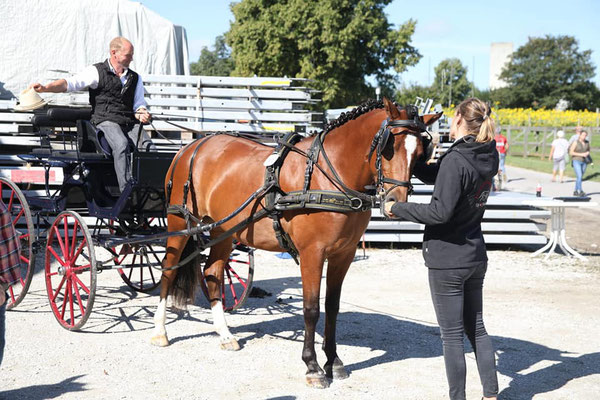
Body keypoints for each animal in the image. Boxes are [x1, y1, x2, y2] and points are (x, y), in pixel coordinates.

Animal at [150, 97, 440, 388]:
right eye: (389, 146)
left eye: (419, 153)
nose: (394, 203)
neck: (328, 176)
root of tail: (191, 146)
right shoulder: (312, 253)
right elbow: (311, 309)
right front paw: (313, 367)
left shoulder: (343, 255)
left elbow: (332, 307)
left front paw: (333, 361)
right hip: (179, 223)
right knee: (168, 269)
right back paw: (160, 330)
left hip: (225, 229)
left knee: (212, 272)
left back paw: (225, 334)